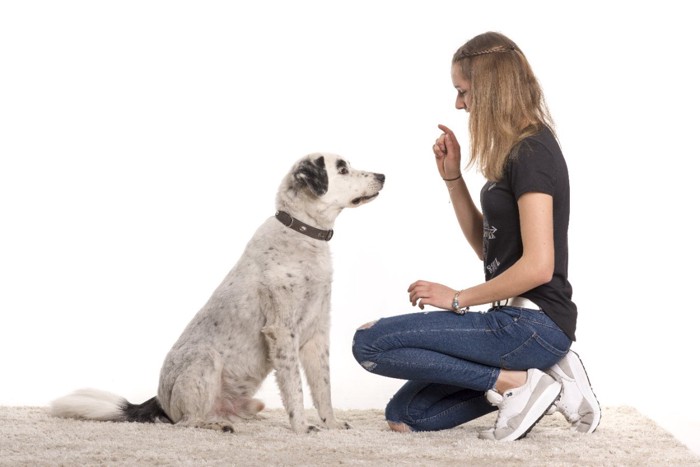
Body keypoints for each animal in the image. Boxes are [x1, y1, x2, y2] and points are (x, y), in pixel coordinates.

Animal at [52, 154, 386, 436]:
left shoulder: (316, 334)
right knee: (186, 422)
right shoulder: (282, 332)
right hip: (205, 361)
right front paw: (302, 428)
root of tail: (159, 401)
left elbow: (322, 390)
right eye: (342, 169)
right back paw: (217, 425)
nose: (383, 175)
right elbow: (296, 390)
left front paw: (330, 424)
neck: (301, 232)